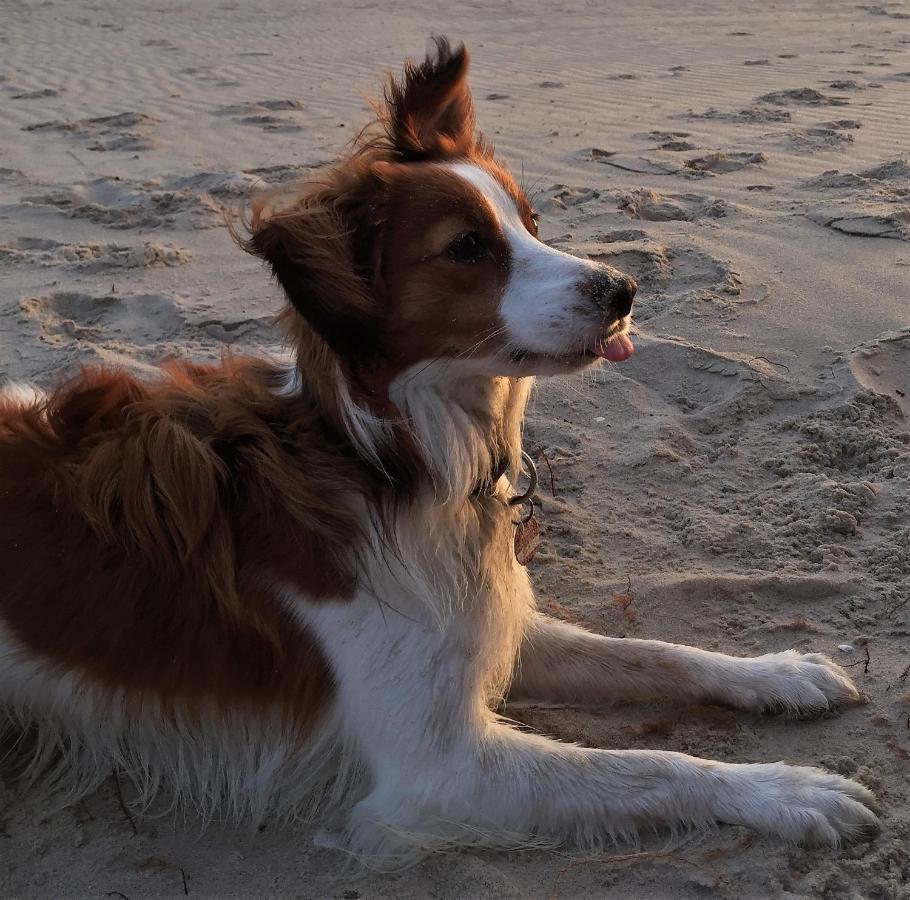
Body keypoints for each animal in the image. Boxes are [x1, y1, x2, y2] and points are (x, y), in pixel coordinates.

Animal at [0, 38, 884, 860]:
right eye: (467, 247)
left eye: (532, 225)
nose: (624, 290)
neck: (393, 459)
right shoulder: (443, 768)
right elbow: (650, 766)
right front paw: (785, 790)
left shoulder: (487, 625)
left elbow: (652, 653)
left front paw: (778, 673)